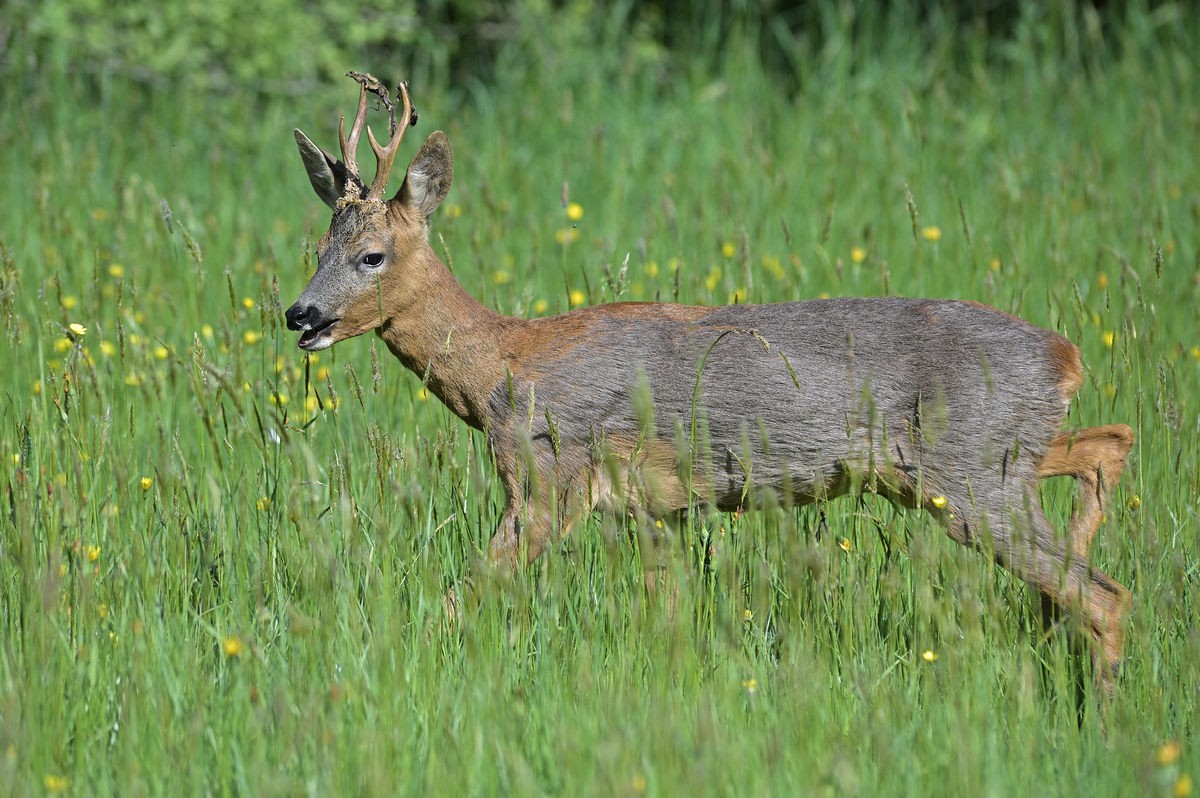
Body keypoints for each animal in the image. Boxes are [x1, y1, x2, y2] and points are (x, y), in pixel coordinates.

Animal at [283, 78, 1132, 696]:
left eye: (372, 255)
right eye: (319, 245)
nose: (300, 314)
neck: (503, 364)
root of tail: (1066, 354)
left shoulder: (547, 481)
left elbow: (463, 596)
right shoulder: (652, 510)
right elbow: (669, 621)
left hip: (973, 470)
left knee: (1104, 595)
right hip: (996, 456)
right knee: (1106, 449)